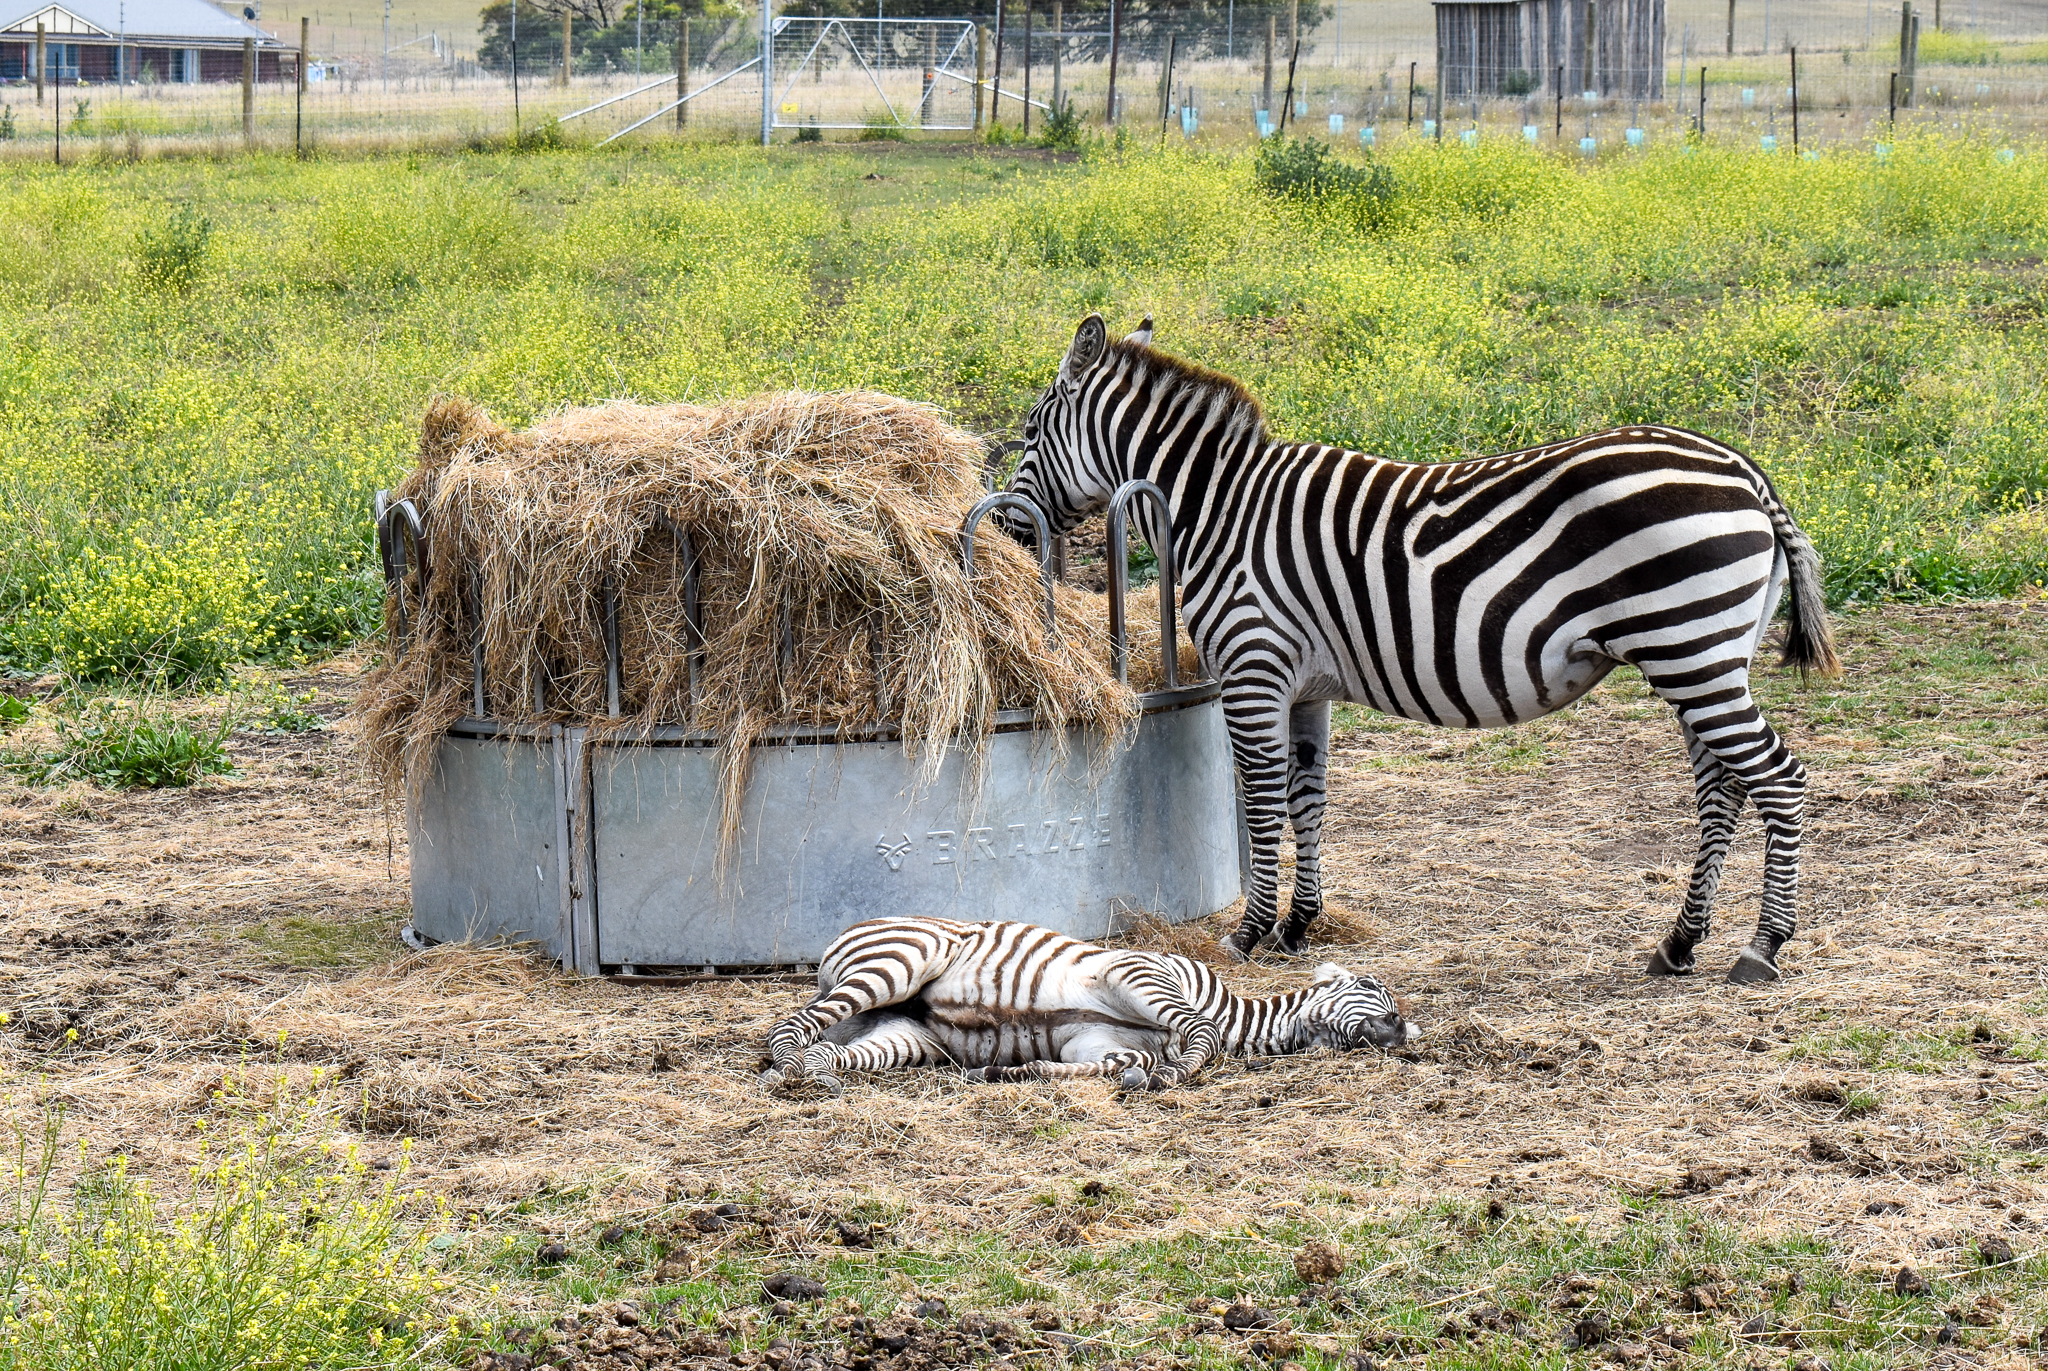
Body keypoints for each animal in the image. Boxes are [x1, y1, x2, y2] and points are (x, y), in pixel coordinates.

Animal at [762, 917, 1417, 1094]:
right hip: (906, 958)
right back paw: (784, 1067)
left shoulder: (1094, 1044)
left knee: (831, 1053)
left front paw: (1013, 1071)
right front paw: (1175, 1072)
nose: (1399, 1031)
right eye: (1373, 988)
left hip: (905, 1038)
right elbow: (1199, 1035)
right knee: (785, 1030)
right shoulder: (1141, 973)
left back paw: (814, 1074)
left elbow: (1109, 1065)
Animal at [1002, 315, 1840, 985]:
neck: (1218, 507)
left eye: (1032, 433)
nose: (1009, 529)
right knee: (1724, 786)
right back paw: (1679, 941)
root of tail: (1744, 470)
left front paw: (1247, 933)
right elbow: (1309, 797)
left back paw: (1763, 945)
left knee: (1779, 778)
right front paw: (1299, 924)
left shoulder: (1253, 666)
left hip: (1688, 648)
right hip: (1702, 654)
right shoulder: (1305, 685)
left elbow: (1264, 800)